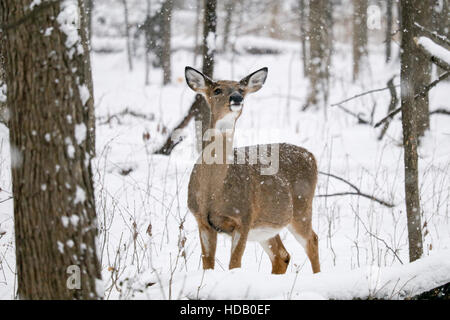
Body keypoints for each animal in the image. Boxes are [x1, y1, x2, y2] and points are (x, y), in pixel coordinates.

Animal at [185, 66, 320, 274]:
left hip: (301, 208)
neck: (213, 191)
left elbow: (234, 264)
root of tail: (310, 155)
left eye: (241, 89)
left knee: (312, 240)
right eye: (217, 90)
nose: (236, 98)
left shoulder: (244, 218)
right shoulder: (201, 221)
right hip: (267, 226)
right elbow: (207, 265)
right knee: (282, 255)